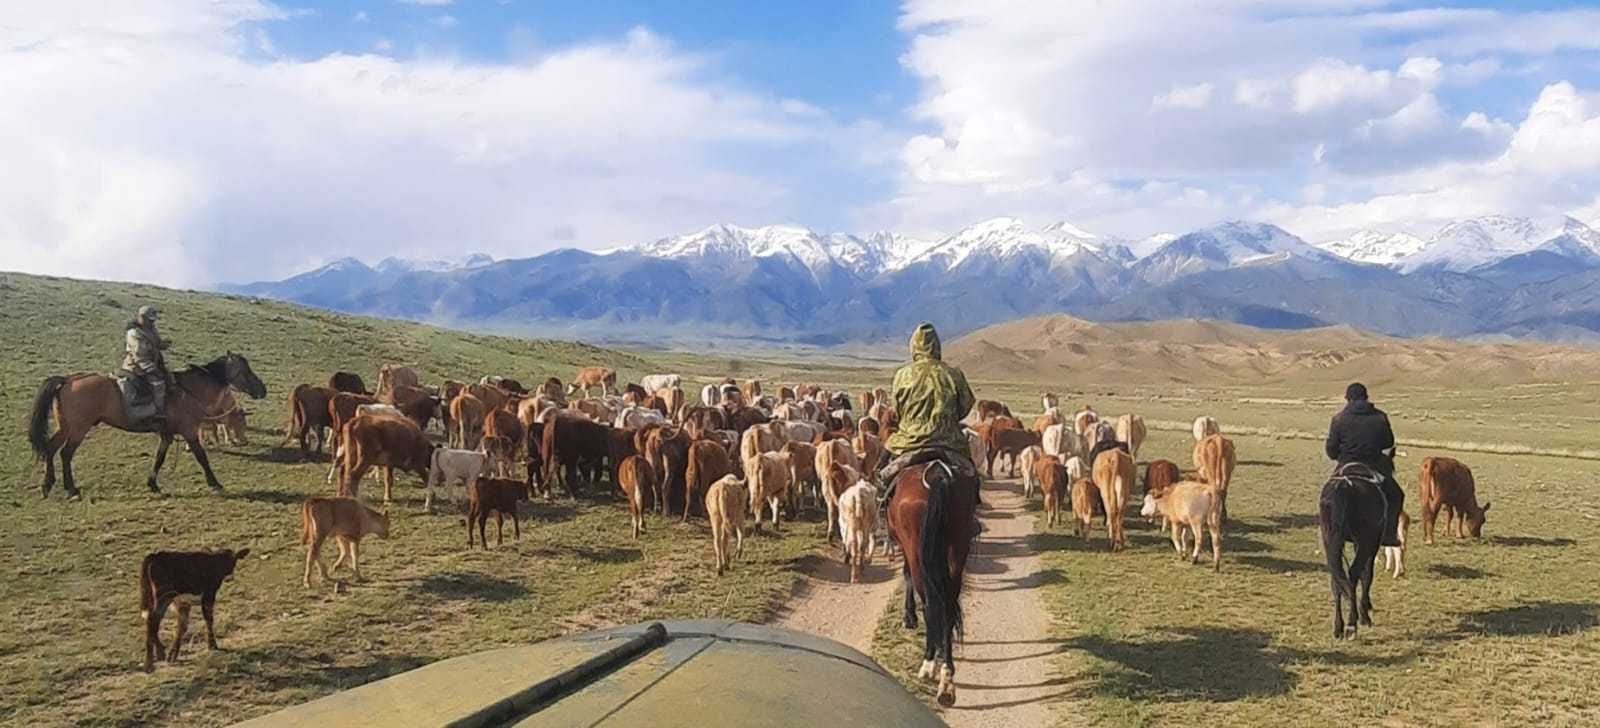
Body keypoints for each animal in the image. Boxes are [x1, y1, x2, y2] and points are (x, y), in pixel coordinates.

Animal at [29, 355, 267, 502]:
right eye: (246, 370)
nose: (262, 389)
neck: (189, 390)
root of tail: (69, 379)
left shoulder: (167, 435)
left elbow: (159, 458)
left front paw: (152, 484)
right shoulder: (190, 432)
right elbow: (202, 457)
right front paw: (215, 483)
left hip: (66, 427)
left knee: (51, 449)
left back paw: (47, 485)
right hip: (79, 428)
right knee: (66, 453)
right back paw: (70, 488)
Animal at [889, 460, 972, 707]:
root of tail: (938, 475)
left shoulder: (906, 550)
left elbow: (906, 575)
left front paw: (909, 617)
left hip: (917, 551)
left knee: (930, 604)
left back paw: (928, 664)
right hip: (958, 547)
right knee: (948, 607)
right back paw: (947, 679)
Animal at [1318, 457, 1395, 640]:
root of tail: (1343, 487)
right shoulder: (1371, 544)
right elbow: (1366, 575)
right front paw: (1365, 613)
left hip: (1331, 541)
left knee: (1337, 578)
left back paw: (1338, 627)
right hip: (1366, 543)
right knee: (1353, 574)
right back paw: (1352, 623)